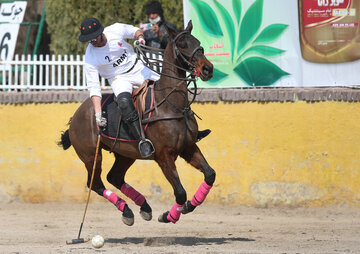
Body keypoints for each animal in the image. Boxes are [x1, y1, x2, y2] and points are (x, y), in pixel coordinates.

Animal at [59, 20, 215, 225]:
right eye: (182, 44)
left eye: (197, 42)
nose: (208, 69)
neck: (173, 105)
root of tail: (75, 116)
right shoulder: (164, 157)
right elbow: (180, 192)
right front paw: (169, 216)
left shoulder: (188, 147)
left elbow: (210, 175)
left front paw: (189, 205)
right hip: (91, 156)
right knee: (96, 183)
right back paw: (126, 211)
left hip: (126, 153)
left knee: (114, 177)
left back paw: (144, 207)